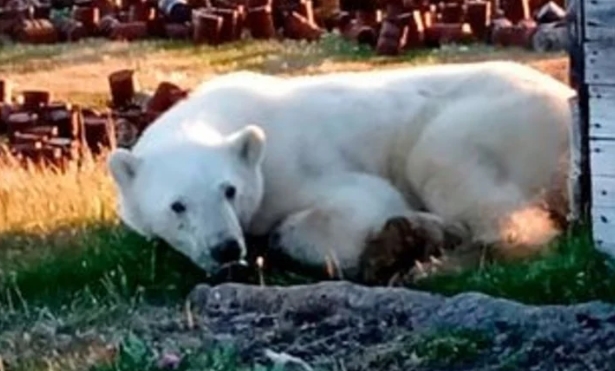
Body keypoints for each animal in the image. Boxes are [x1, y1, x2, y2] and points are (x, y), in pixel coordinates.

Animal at [107, 60, 576, 282]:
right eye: (177, 205)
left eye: (229, 190)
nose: (225, 249)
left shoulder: (296, 164)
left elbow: (360, 203)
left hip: (492, 120)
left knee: (449, 166)